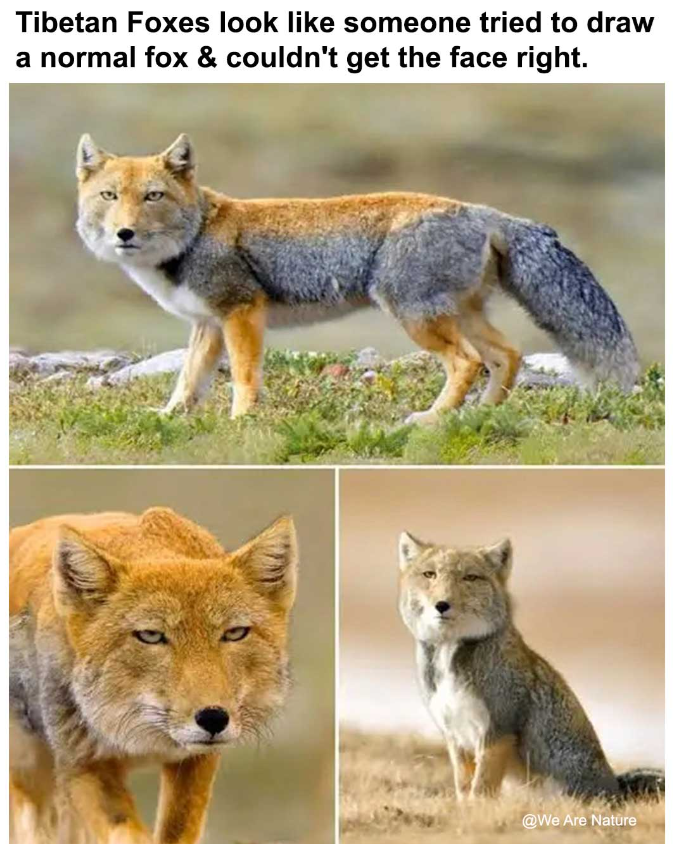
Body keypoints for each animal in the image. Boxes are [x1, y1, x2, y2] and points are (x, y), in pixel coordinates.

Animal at [9, 507, 298, 844]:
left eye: (235, 633)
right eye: (150, 636)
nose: (214, 718)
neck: (142, 742)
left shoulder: (196, 760)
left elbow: (176, 831)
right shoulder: (82, 765)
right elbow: (126, 831)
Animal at [75, 134, 639, 426]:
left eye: (152, 196)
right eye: (110, 197)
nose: (124, 232)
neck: (194, 235)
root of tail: (484, 211)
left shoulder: (241, 313)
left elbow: (243, 377)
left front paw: (242, 422)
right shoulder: (208, 325)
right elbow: (188, 381)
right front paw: (169, 416)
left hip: (415, 316)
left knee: (469, 362)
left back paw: (432, 419)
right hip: (458, 314)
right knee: (507, 355)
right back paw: (478, 416)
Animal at [397, 531, 663, 802]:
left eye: (470, 577)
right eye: (430, 574)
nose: (442, 605)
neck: (449, 655)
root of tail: (617, 790)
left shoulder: (498, 730)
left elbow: (481, 788)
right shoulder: (455, 735)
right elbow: (464, 787)